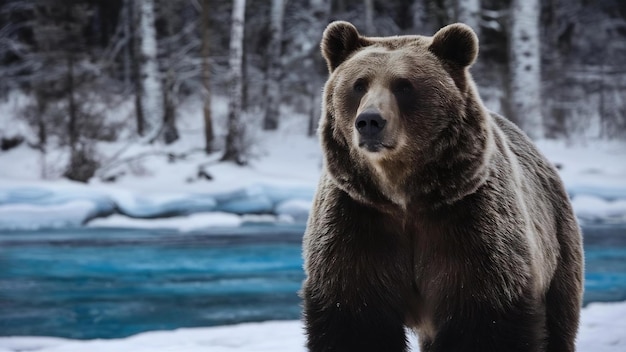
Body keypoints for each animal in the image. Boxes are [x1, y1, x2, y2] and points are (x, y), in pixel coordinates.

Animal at [300, 21, 584, 352]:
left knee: (559, 321)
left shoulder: (467, 224)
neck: (402, 194)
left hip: (558, 247)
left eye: (404, 85)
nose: (370, 121)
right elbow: (354, 318)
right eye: (359, 84)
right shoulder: (357, 219)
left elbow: (486, 318)